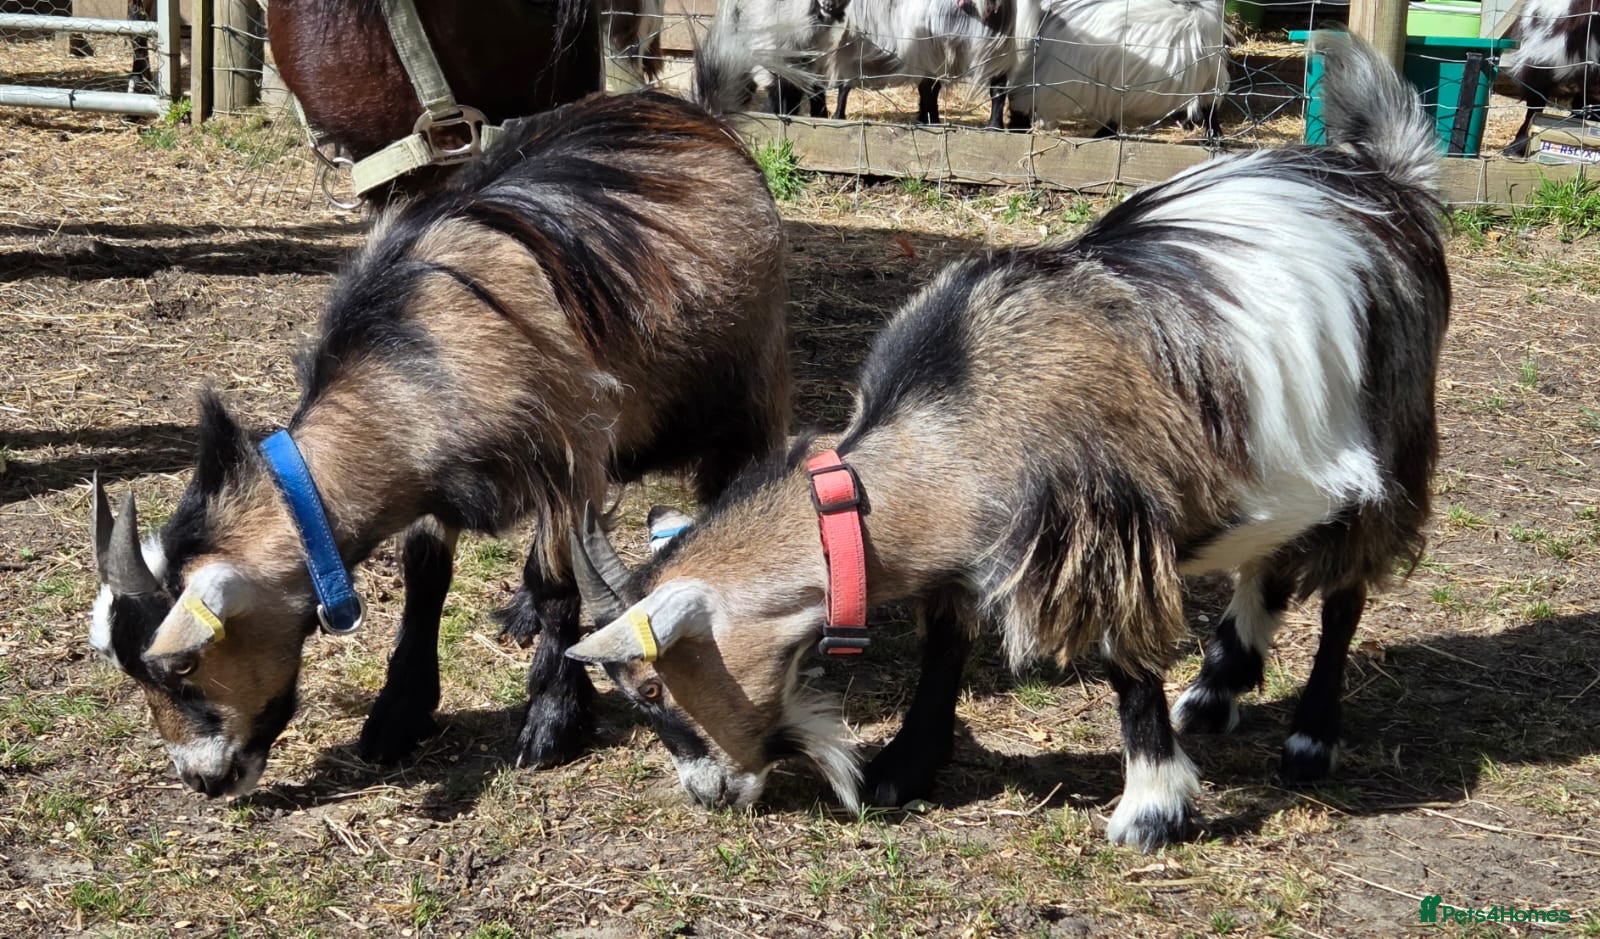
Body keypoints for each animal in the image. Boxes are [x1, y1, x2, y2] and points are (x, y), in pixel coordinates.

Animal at [87, 91, 791, 798]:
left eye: (183, 666)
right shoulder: (430, 479)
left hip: (745, 389)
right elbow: (426, 578)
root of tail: (694, 114)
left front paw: (552, 720)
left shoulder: (568, 454)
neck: (421, 353)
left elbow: (555, 580)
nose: (202, 779)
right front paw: (397, 714)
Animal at [566, 31, 1449, 851]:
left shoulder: (1106, 533)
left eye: (649, 687)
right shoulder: (969, 549)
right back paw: (1217, 687)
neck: (961, 425)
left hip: (1396, 440)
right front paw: (903, 768)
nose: (706, 792)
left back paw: (1310, 735)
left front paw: (1150, 809)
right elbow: (944, 645)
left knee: (1346, 588)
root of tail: (1391, 182)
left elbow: (1124, 663)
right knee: (1274, 555)